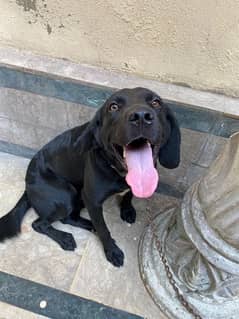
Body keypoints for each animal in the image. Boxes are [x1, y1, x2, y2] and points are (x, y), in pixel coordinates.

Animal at [0, 87, 180, 268]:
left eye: (156, 103)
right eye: (113, 107)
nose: (141, 116)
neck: (118, 171)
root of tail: (27, 185)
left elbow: (128, 195)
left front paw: (127, 209)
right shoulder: (92, 200)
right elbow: (104, 230)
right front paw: (112, 251)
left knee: (69, 218)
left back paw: (88, 224)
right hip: (67, 195)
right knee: (40, 224)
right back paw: (66, 238)